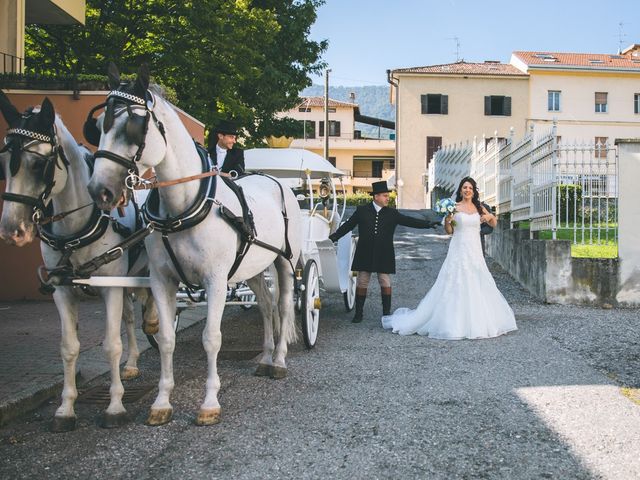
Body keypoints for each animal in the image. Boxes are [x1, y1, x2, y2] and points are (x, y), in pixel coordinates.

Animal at [0, 91, 158, 432]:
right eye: (3, 163)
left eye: (39, 164)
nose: (12, 231)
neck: (75, 229)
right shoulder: (62, 290)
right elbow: (69, 347)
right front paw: (65, 408)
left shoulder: (111, 286)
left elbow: (110, 344)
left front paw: (115, 407)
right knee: (129, 318)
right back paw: (132, 363)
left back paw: (152, 322)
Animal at [87, 62, 302, 424]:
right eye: (100, 124)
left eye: (136, 125)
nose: (99, 190)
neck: (184, 207)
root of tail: (277, 182)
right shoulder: (162, 280)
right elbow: (166, 339)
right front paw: (161, 402)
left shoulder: (215, 280)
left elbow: (211, 339)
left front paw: (210, 403)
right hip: (253, 268)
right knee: (265, 305)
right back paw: (264, 358)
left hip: (284, 261)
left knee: (284, 306)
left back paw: (279, 361)